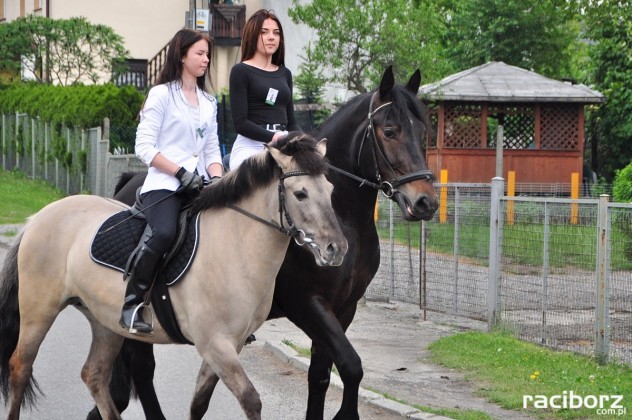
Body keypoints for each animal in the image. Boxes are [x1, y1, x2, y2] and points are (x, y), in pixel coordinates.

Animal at [0, 133, 348, 420]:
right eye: (300, 194)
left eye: (331, 190)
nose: (337, 248)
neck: (235, 245)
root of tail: (39, 217)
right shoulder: (216, 344)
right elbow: (251, 400)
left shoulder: (227, 346)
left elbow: (199, 404)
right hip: (39, 312)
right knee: (20, 368)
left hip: (105, 322)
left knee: (94, 375)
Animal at [90, 65, 439, 420]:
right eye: (390, 131)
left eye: (423, 130)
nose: (425, 202)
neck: (344, 219)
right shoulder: (307, 303)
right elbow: (351, 366)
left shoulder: (344, 308)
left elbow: (322, 375)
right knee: (141, 367)